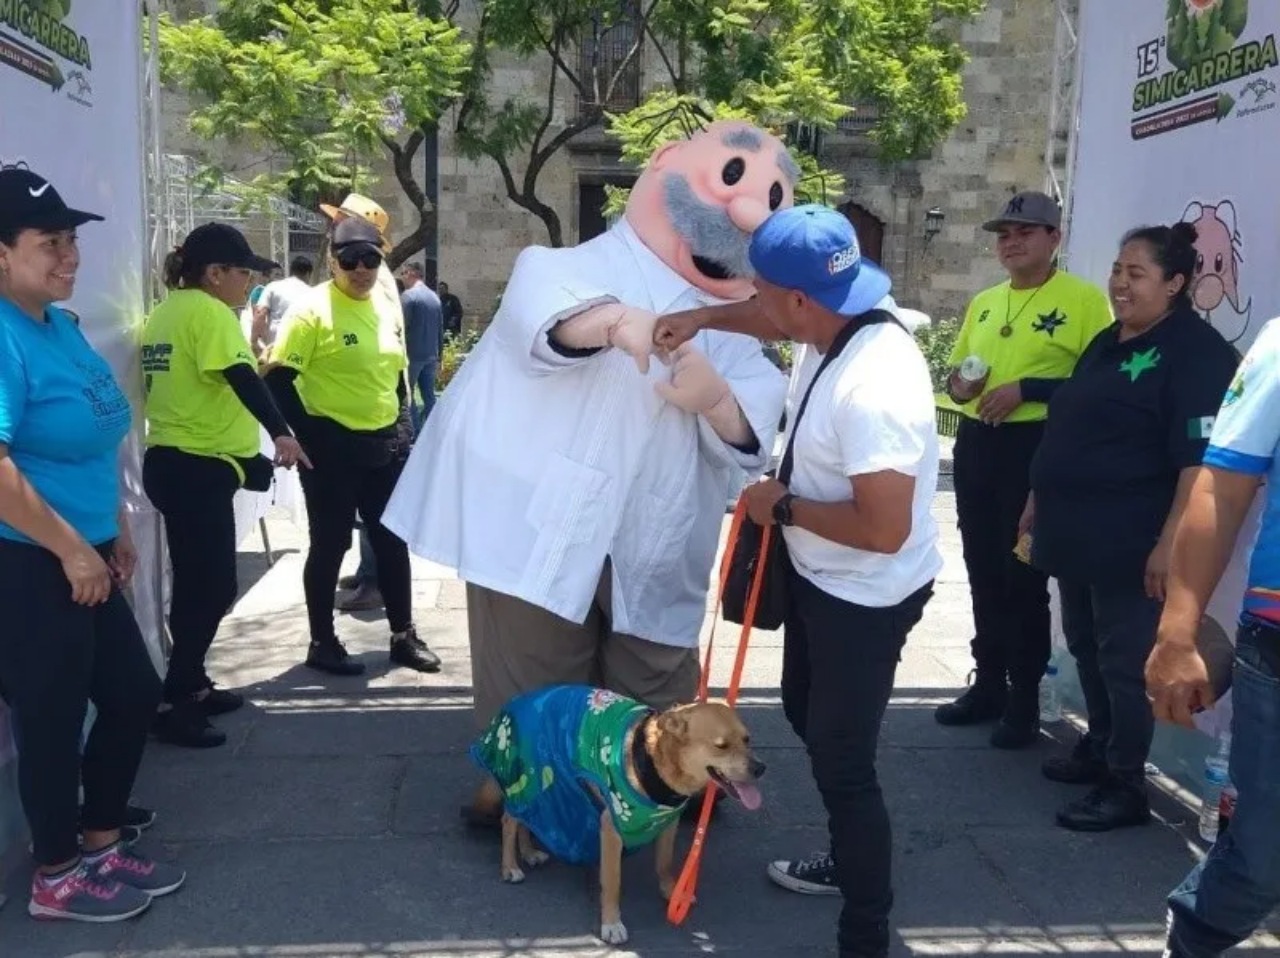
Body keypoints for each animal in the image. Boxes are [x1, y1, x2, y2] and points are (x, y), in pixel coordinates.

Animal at [473, 686, 762, 942]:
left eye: (747, 740)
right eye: (721, 746)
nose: (761, 768)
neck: (654, 759)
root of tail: (515, 703)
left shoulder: (668, 822)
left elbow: (664, 863)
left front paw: (672, 892)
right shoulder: (611, 829)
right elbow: (612, 882)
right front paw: (612, 924)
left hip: (543, 788)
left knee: (527, 818)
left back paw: (529, 852)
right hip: (528, 779)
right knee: (509, 821)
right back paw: (510, 866)